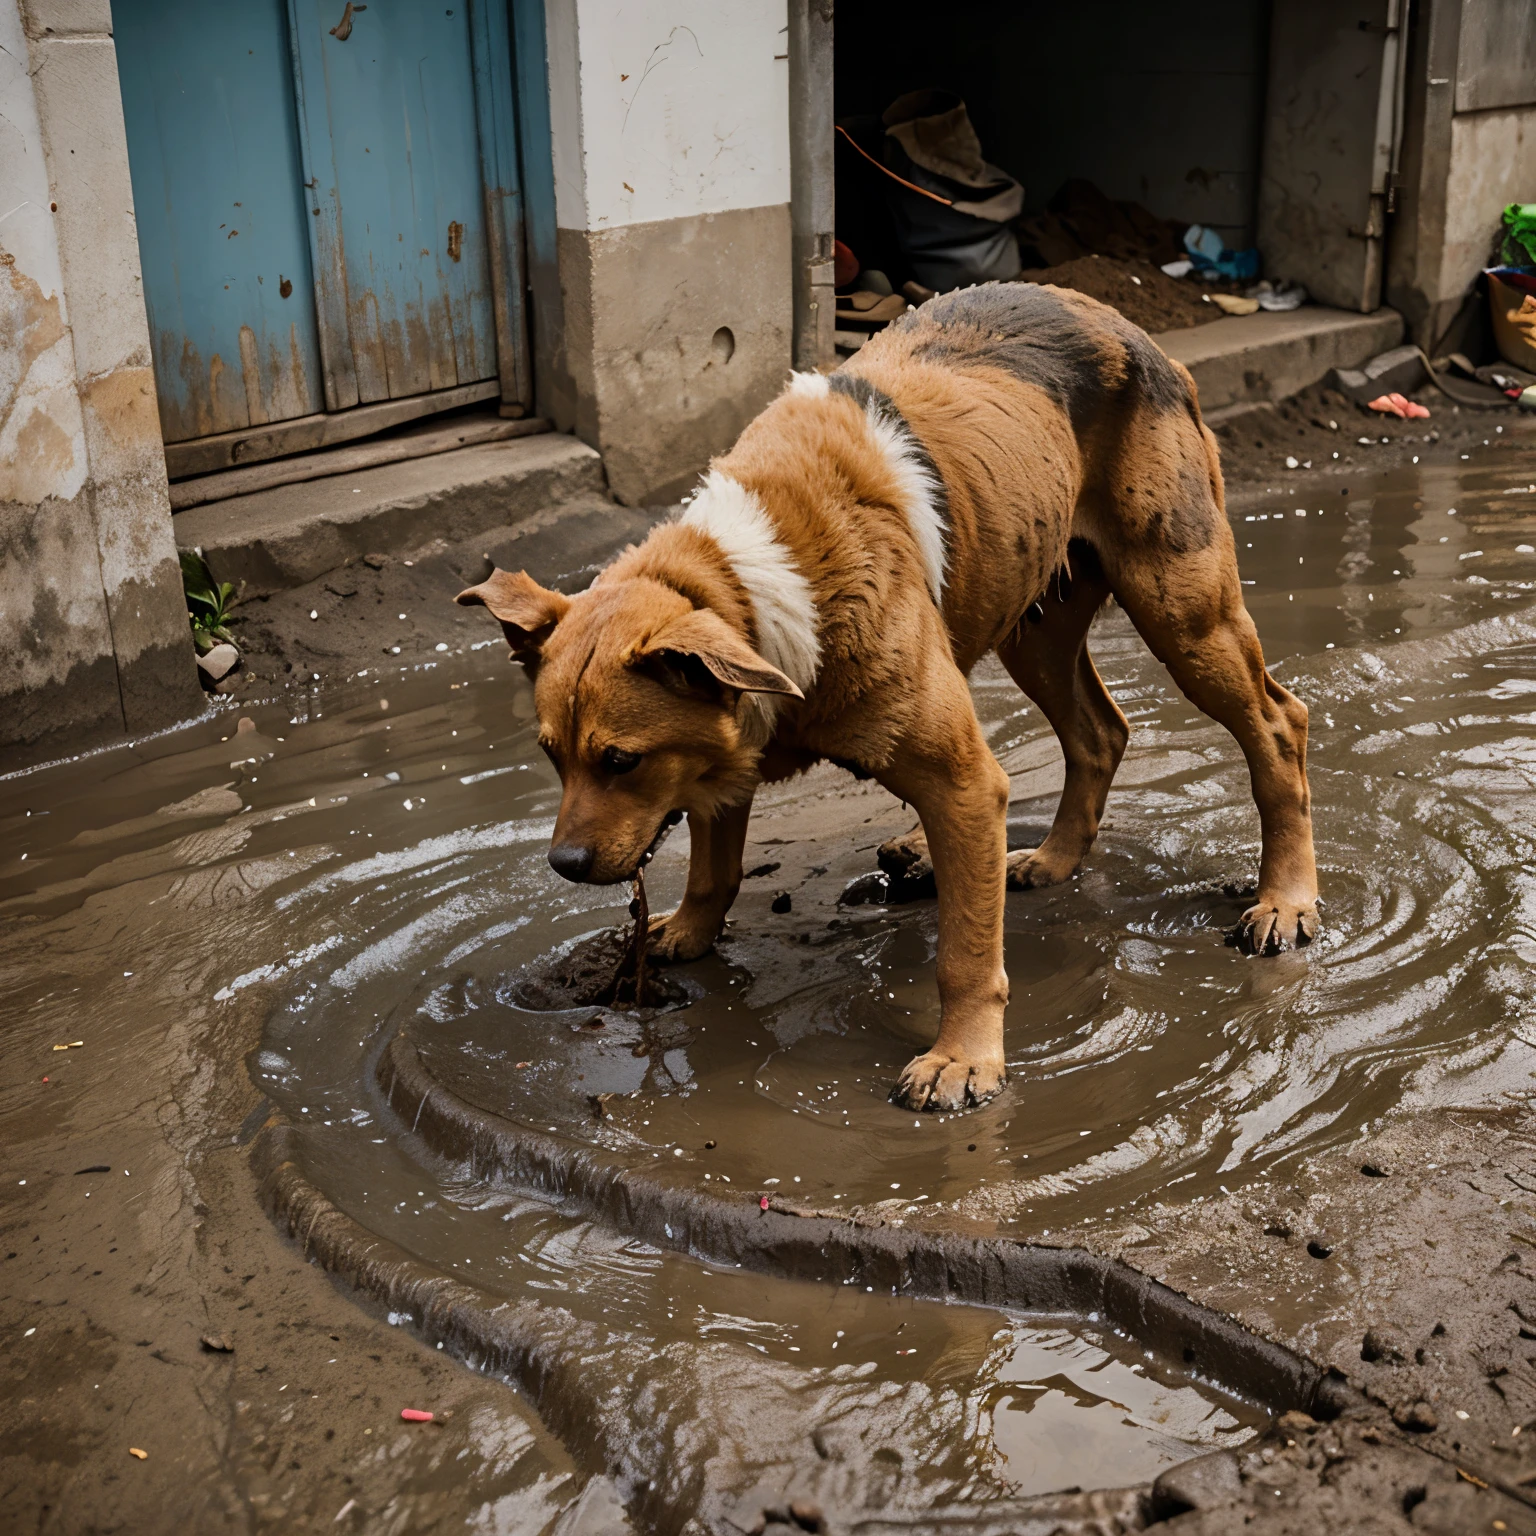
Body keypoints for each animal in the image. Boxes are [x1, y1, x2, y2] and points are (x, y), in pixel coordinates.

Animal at [457, 282, 1320, 1112]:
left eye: (622, 761)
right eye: (551, 757)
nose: (564, 865)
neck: (749, 576)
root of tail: (1131, 329)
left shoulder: (962, 784)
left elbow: (966, 954)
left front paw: (963, 1061)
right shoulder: (727, 744)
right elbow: (713, 866)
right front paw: (693, 932)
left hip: (1182, 610)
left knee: (1279, 723)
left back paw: (1286, 901)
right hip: (1034, 628)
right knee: (1100, 734)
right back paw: (1052, 858)